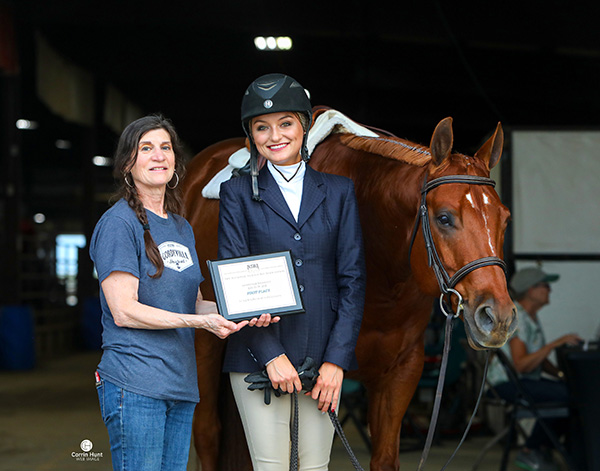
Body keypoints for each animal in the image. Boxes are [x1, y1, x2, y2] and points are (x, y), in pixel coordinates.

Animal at [183, 114, 516, 471]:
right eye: (444, 218)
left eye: (505, 219)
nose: (497, 317)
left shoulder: (400, 374)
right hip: (205, 347)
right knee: (208, 433)